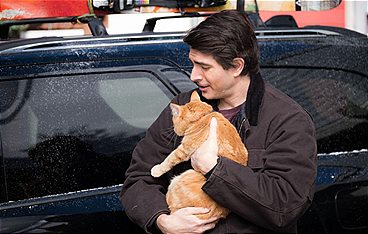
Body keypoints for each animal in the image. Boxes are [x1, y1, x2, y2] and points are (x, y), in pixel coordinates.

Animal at [151, 91, 249, 221]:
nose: (174, 130)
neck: (202, 117)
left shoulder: (184, 149)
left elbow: (169, 159)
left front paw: (157, 170)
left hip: (181, 178)